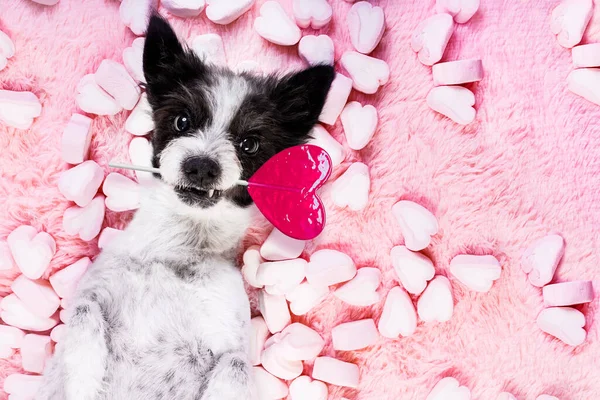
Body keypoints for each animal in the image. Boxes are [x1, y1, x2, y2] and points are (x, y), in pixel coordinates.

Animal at [37, 14, 336, 400]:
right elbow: (83, 316)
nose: (201, 166)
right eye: (182, 121)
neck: (179, 249)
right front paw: (84, 385)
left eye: (249, 144)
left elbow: (234, 366)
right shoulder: (91, 297)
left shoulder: (229, 348)